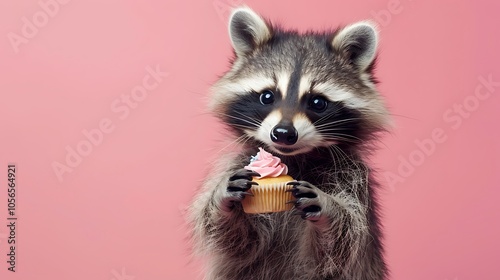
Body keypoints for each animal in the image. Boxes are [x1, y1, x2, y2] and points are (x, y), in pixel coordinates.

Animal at [189, 6, 388, 280]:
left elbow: (336, 249)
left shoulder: (354, 180)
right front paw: (223, 202)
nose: (283, 133)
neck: (294, 158)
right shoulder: (237, 163)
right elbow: (237, 243)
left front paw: (328, 210)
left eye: (317, 102)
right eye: (267, 96)